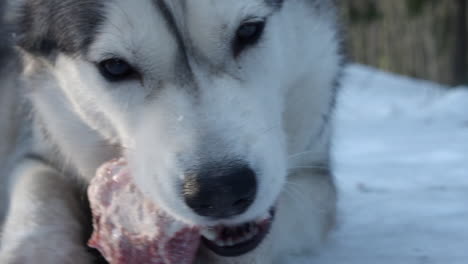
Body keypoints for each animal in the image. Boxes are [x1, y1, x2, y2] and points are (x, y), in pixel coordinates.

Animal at [0, 0, 344, 262]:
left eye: (248, 30)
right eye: (115, 67)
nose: (221, 191)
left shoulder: (314, 175)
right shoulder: (40, 148)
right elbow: (40, 193)